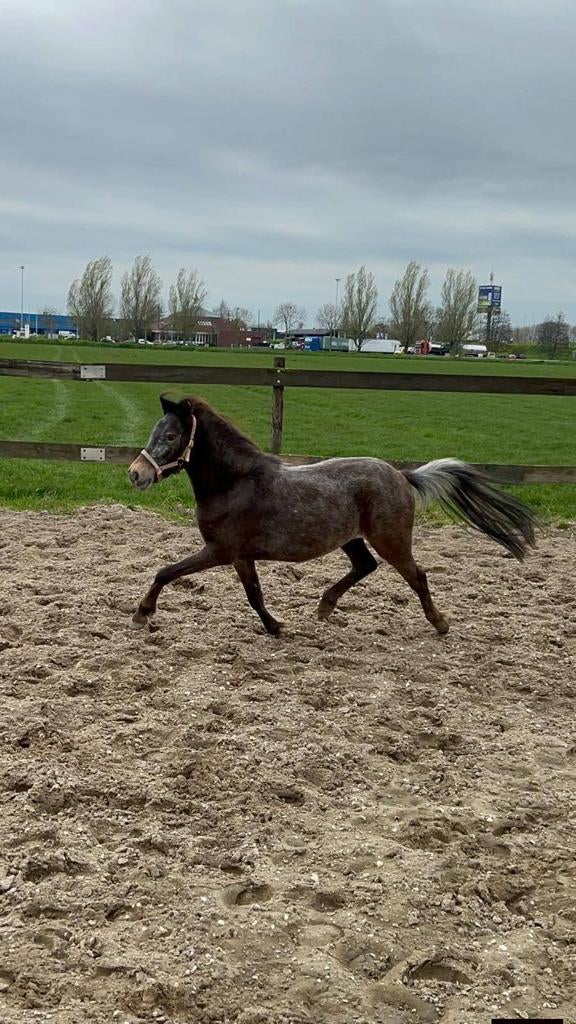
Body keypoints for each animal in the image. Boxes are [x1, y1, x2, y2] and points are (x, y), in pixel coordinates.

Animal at [128, 394, 536, 637]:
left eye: (171, 436)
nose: (135, 474)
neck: (235, 483)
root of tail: (401, 475)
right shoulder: (241, 557)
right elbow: (254, 595)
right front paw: (276, 627)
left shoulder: (220, 551)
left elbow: (166, 572)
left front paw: (143, 613)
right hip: (352, 539)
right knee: (365, 566)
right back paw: (325, 606)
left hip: (391, 539)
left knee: (416, 575)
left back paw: (440, 623)